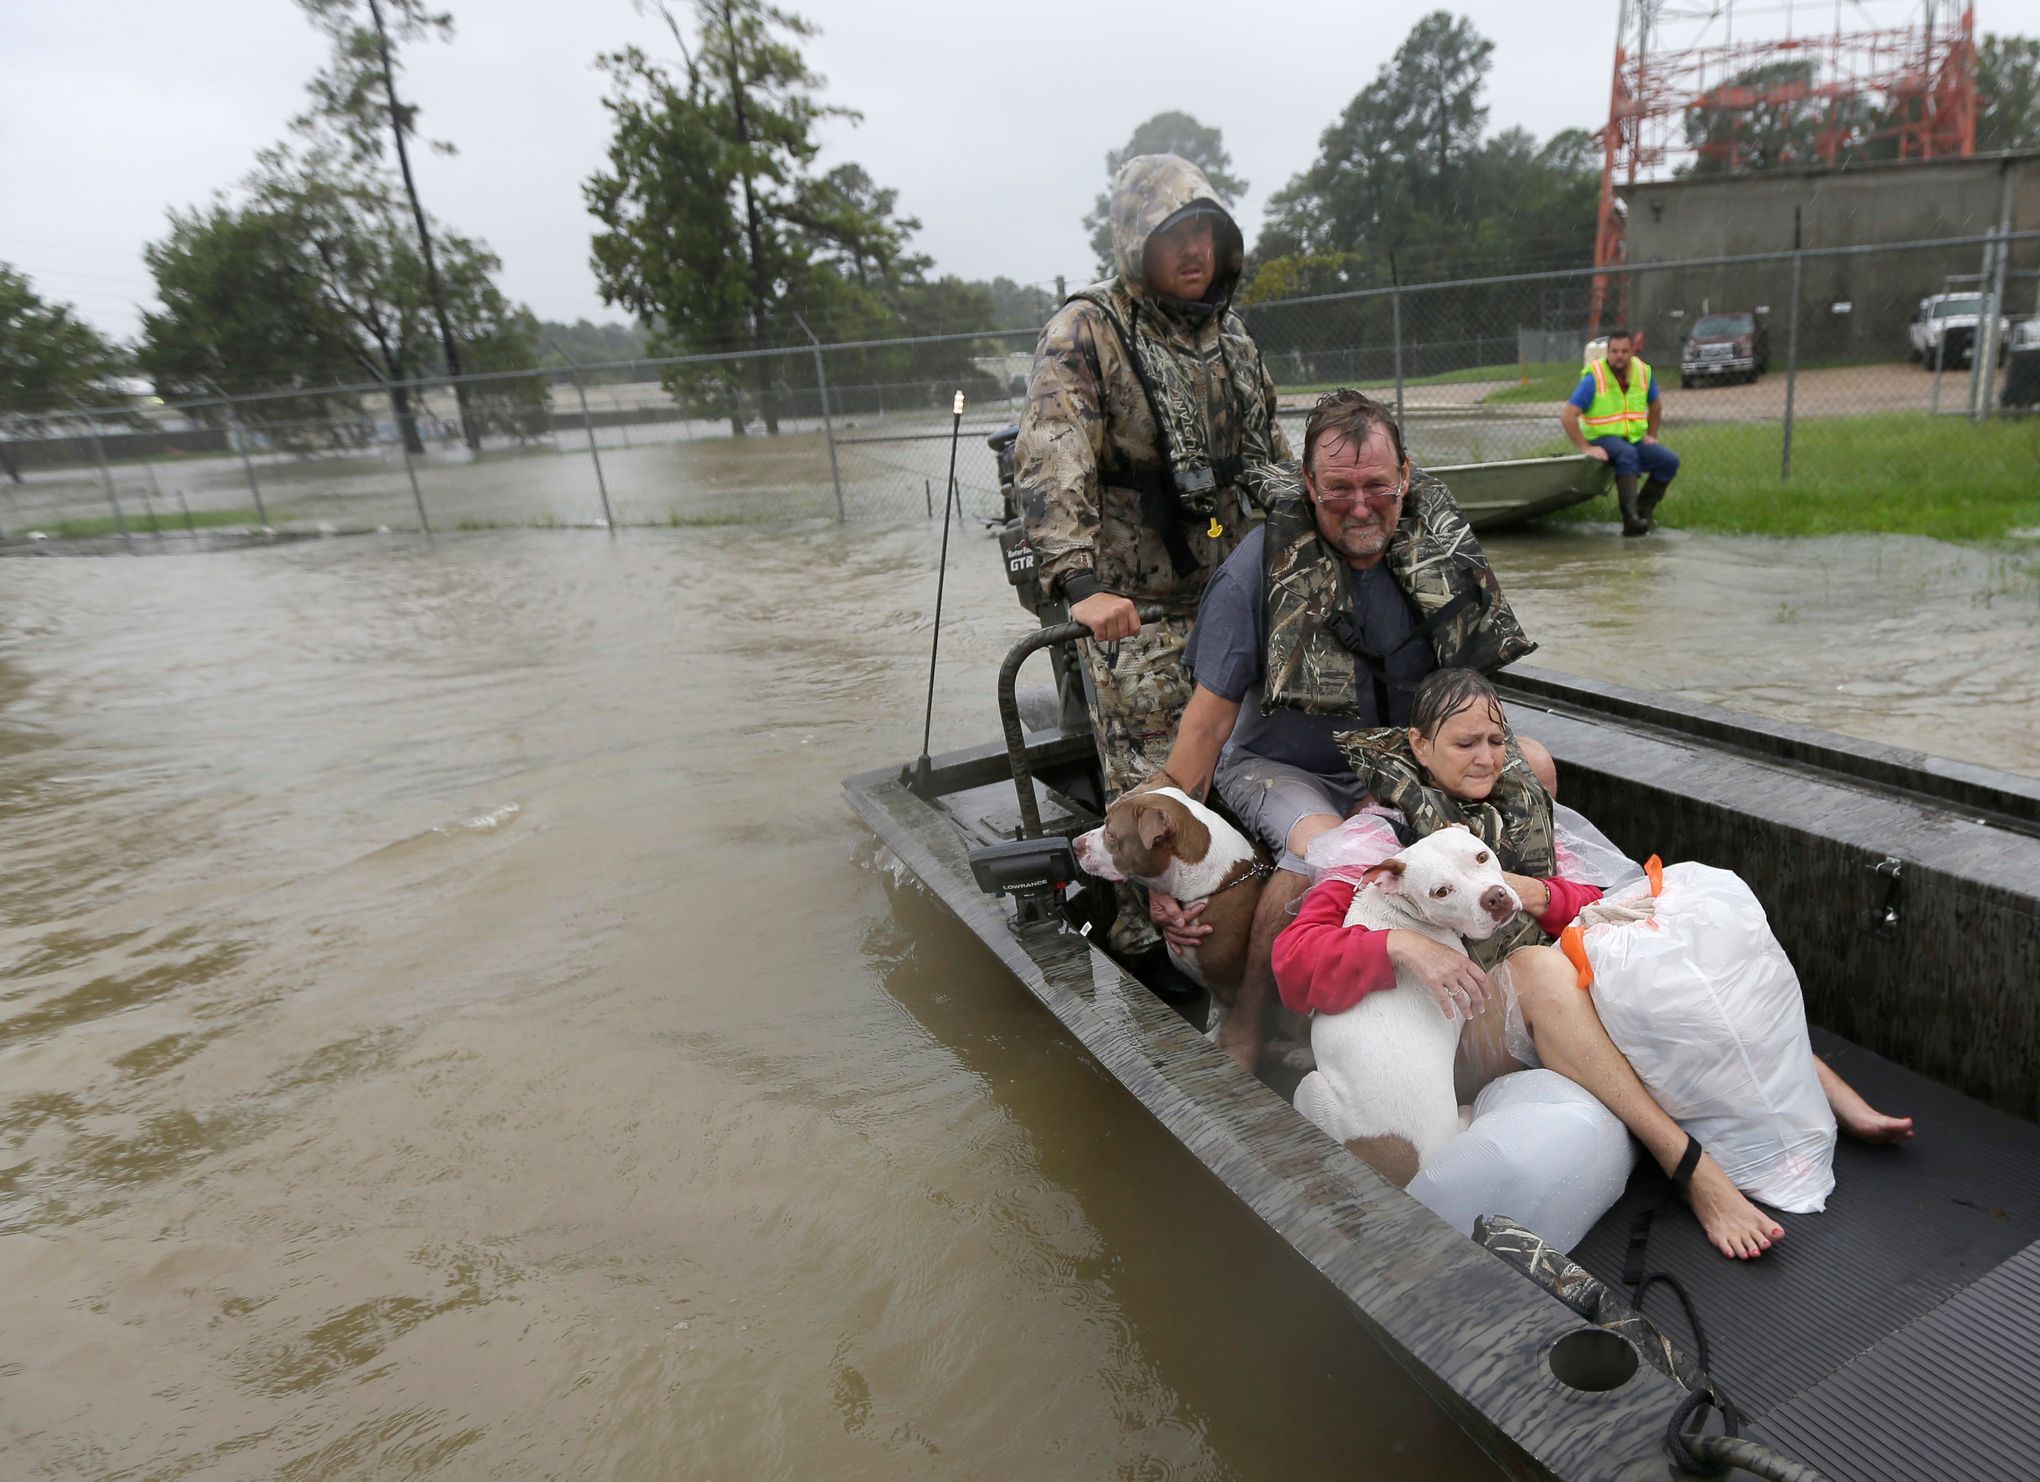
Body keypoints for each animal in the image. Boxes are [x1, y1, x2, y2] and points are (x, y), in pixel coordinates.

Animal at [1289, 828, 1517, 1192]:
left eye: (1481, 857)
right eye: (1441, 892)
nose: (1494, 898)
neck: (1397, 907)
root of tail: (1406, 1175)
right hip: (1312, 1089)